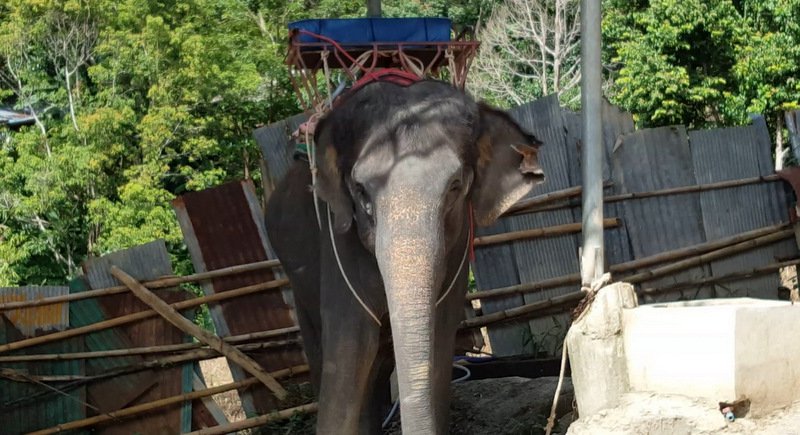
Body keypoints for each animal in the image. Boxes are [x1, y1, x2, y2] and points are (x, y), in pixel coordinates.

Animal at [265, 79, 545, 434]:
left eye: (455, 186)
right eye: (361, 190)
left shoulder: (457, 248)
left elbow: (439, 344)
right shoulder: (338, 241)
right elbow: (350, 348)